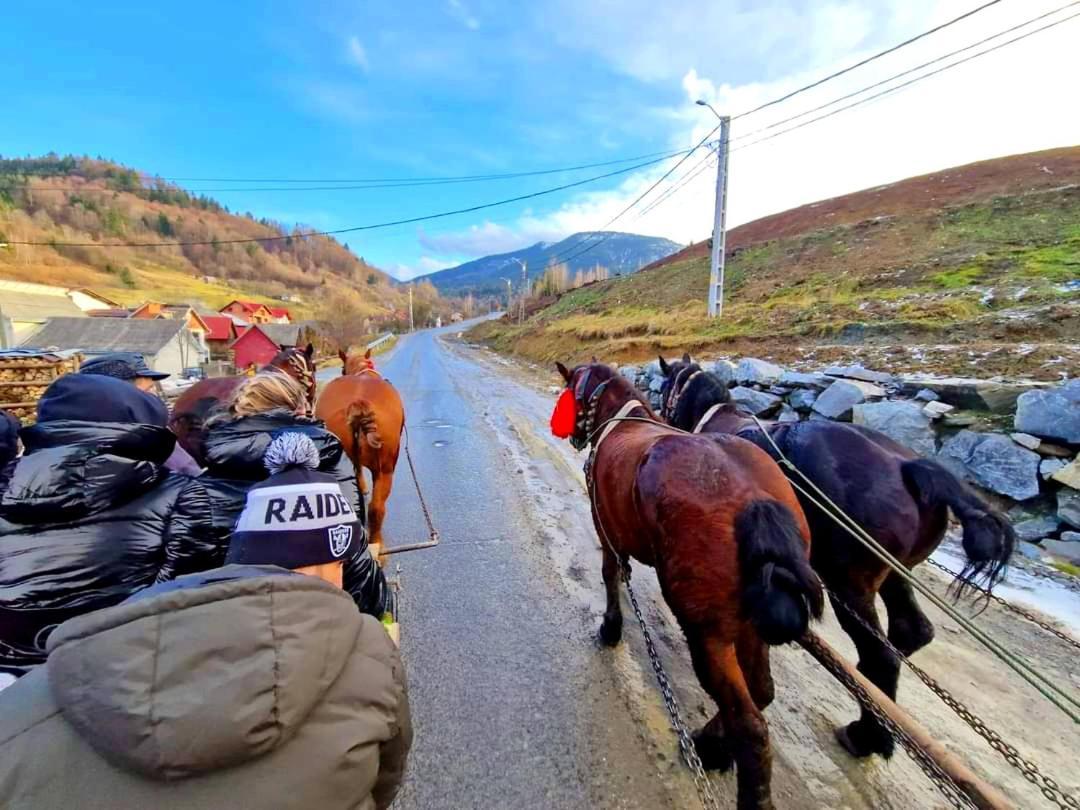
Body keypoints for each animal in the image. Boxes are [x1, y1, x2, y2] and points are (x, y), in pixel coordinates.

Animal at [552, 362, 820, 810]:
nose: (569, 433)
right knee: (761, 690)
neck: (622, 423)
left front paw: (611, 628)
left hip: (706, 633)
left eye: (571, 390)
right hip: (746, 623)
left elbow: (610, 574)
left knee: (750, 724)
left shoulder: (605, 529)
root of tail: (753, 499)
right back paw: (713, 745)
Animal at [652, 354, 1015, 760]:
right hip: (895, 573)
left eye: (665, 387)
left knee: (880, 657)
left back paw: (864, 735)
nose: (660, 411)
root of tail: (908, 467)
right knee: (910, 632)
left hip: (850, 585)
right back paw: (875, 724)